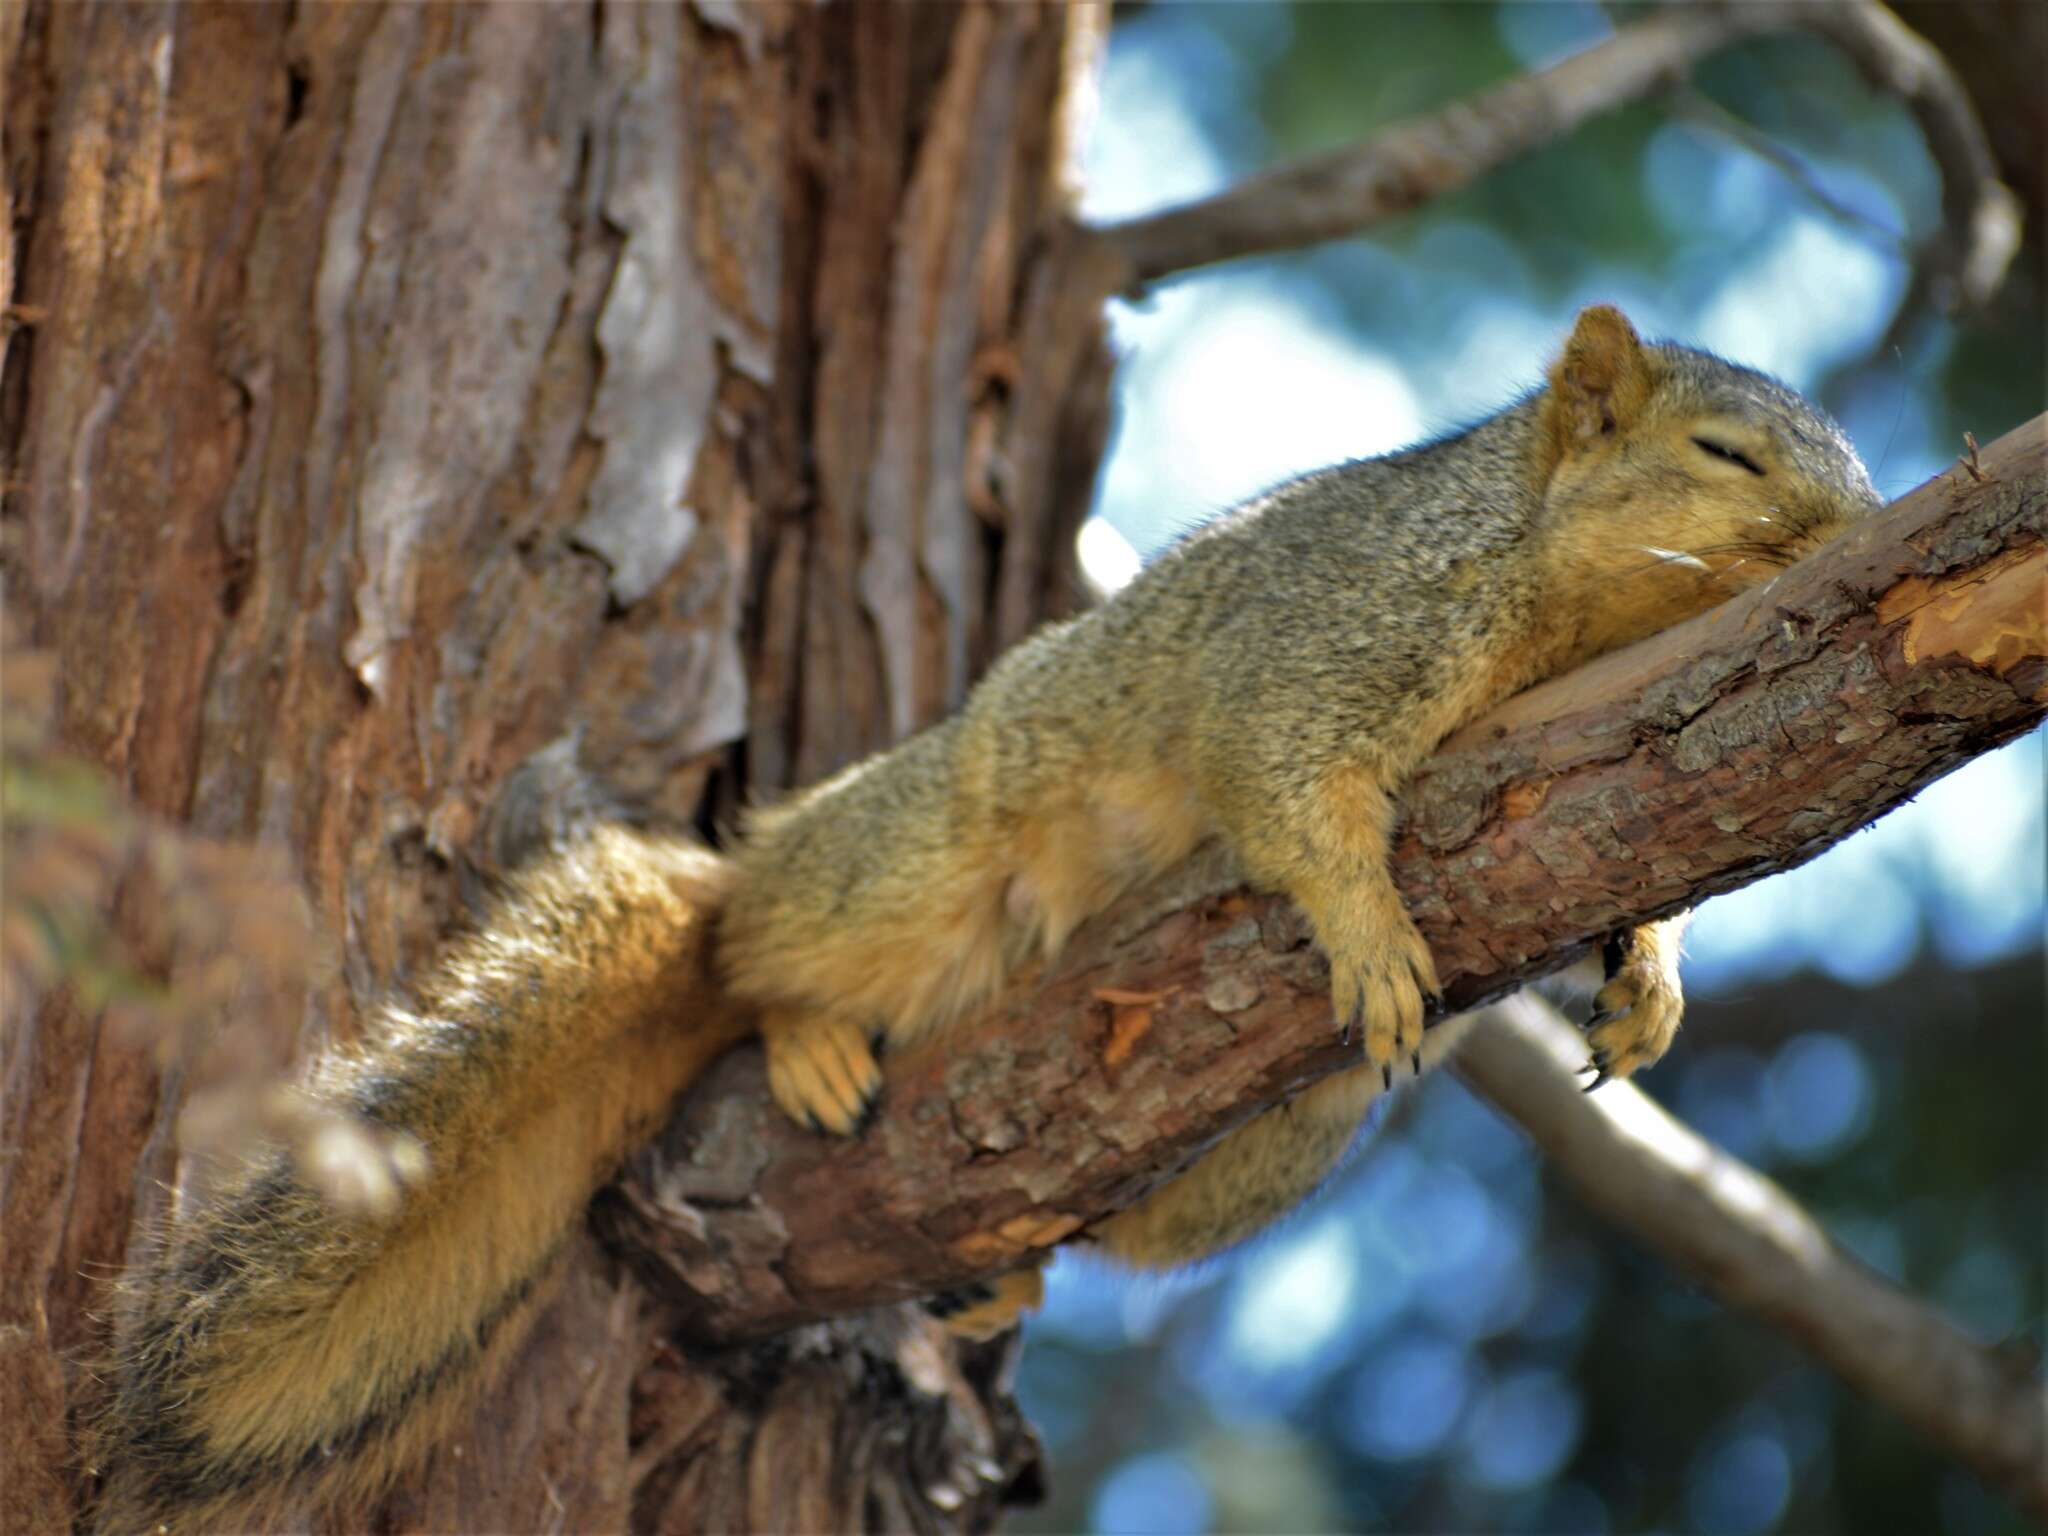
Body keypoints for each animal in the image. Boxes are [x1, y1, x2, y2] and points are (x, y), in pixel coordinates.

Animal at [99, 307, 1884, 1531]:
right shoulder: (1334, 637)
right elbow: (1288, 786)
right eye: (1724, 456)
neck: (1554, 599)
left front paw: (1644, 973)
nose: (1862, 533)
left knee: (1106, 1224)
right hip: (913, 871)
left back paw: (1015, 1270)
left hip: (1261, 1154)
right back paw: (804, 1031)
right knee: (754, 946)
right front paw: (1371, 928)